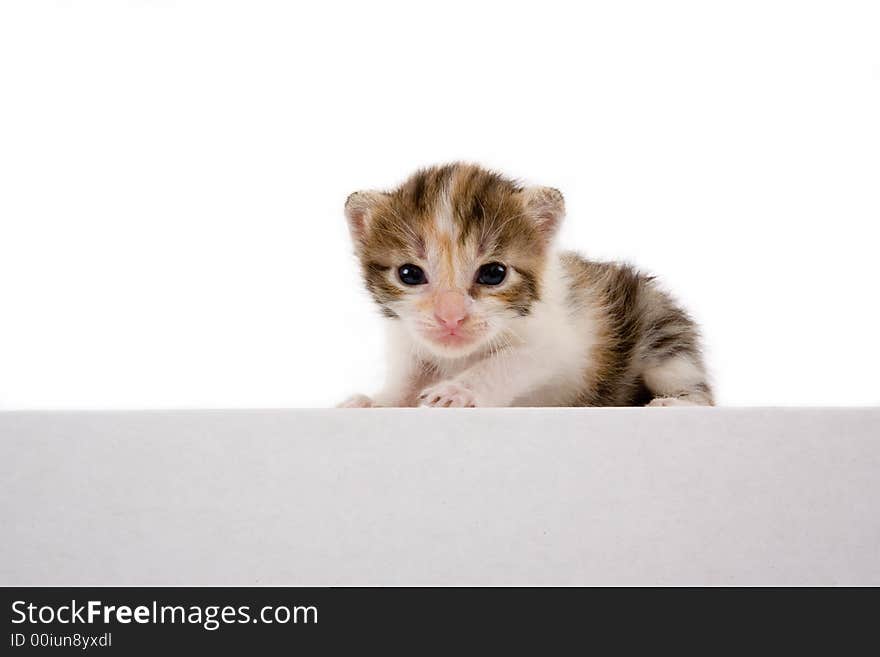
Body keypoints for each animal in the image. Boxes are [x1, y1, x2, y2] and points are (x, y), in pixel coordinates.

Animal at [340, 162, 712, 408]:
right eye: (409, 274)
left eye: (493, 273)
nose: (450, 317)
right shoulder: (411, 341)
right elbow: (407, 380)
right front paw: (375, 401)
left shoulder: (559, 343)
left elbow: (509, 362)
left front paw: (459, 391)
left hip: (662, 331)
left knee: (699, 389)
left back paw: (674, 403)